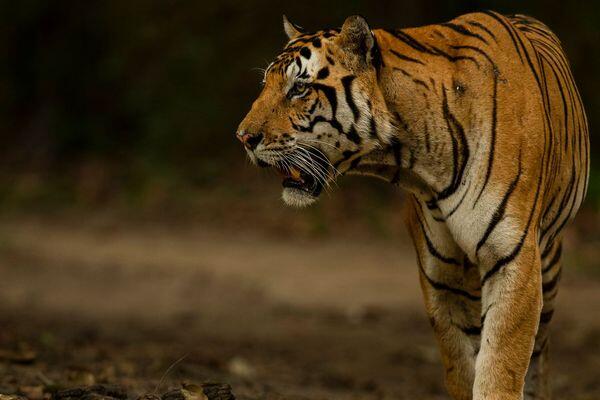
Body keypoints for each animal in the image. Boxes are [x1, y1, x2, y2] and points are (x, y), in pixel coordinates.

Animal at [236, 10, 592, 398]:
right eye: (266, 84)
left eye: (299, 88)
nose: (243, 137)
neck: (417, 158)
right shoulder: (441, 278)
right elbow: (462, 368)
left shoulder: (511, 260)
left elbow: (500, 367)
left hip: (549, 264)